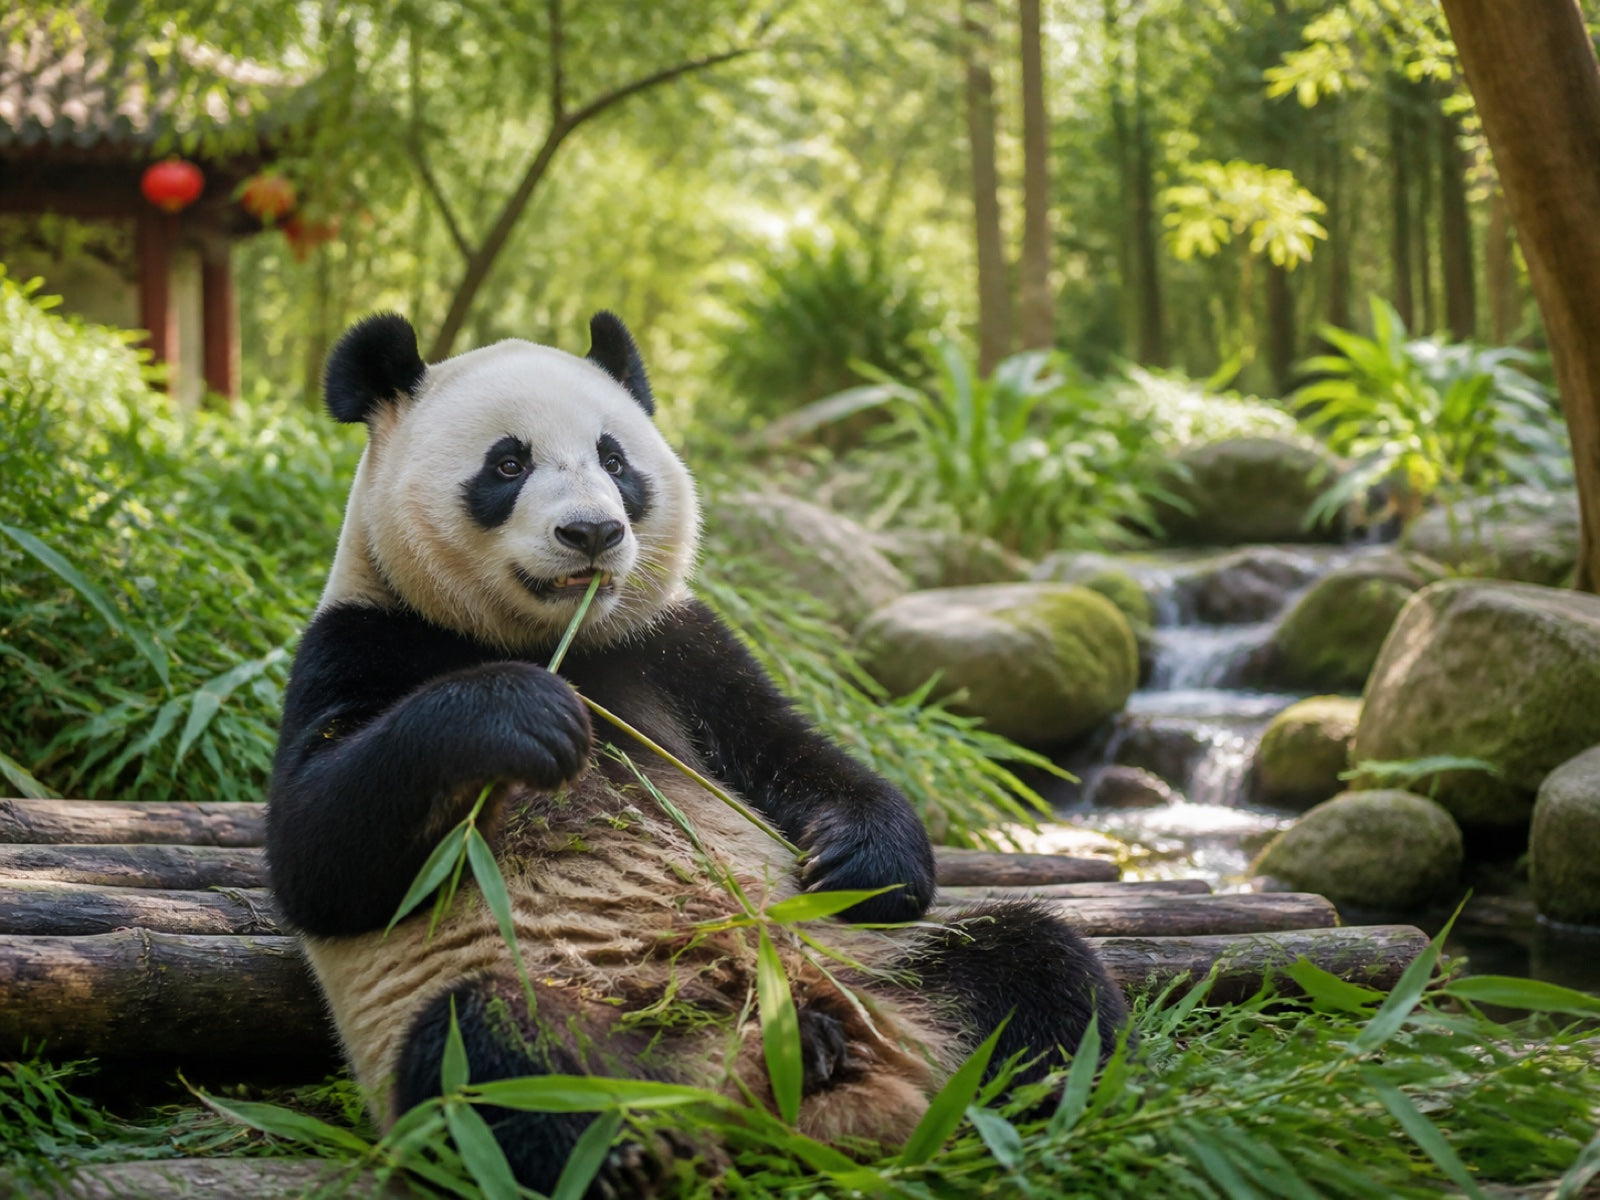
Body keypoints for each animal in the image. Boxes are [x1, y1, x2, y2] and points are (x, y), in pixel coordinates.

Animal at [267, 311, 1129, 1194]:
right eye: (508, 463)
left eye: (615, 460)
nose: (593, 532)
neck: (555, 640)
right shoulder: (364, 640)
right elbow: (322, 854)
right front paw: (520, 715)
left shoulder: (678, 647)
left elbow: (792, 752)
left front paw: (860, 862)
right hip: (585, 1020)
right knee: (491, 1055)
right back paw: (636, 1158)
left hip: (888, 978)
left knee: (1038, 970)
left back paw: (1040, 1111)